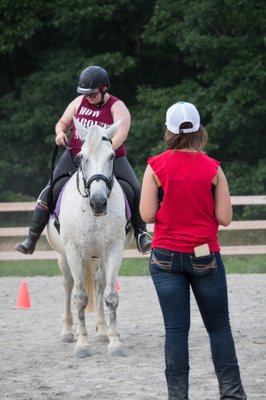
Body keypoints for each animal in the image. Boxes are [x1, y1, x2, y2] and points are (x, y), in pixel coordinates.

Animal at [46, 117, 133, 358]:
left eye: (111, 156)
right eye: (81, 157)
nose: (99, 202)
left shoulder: (113, 250)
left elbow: (110, 296)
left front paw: (115, 344)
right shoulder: (74, 252)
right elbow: (80, 298)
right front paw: (82, 345)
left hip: (98, 256)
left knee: (99, 285)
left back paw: (103, 332)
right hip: (64, 256)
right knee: (68, 286)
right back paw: (68, 332)